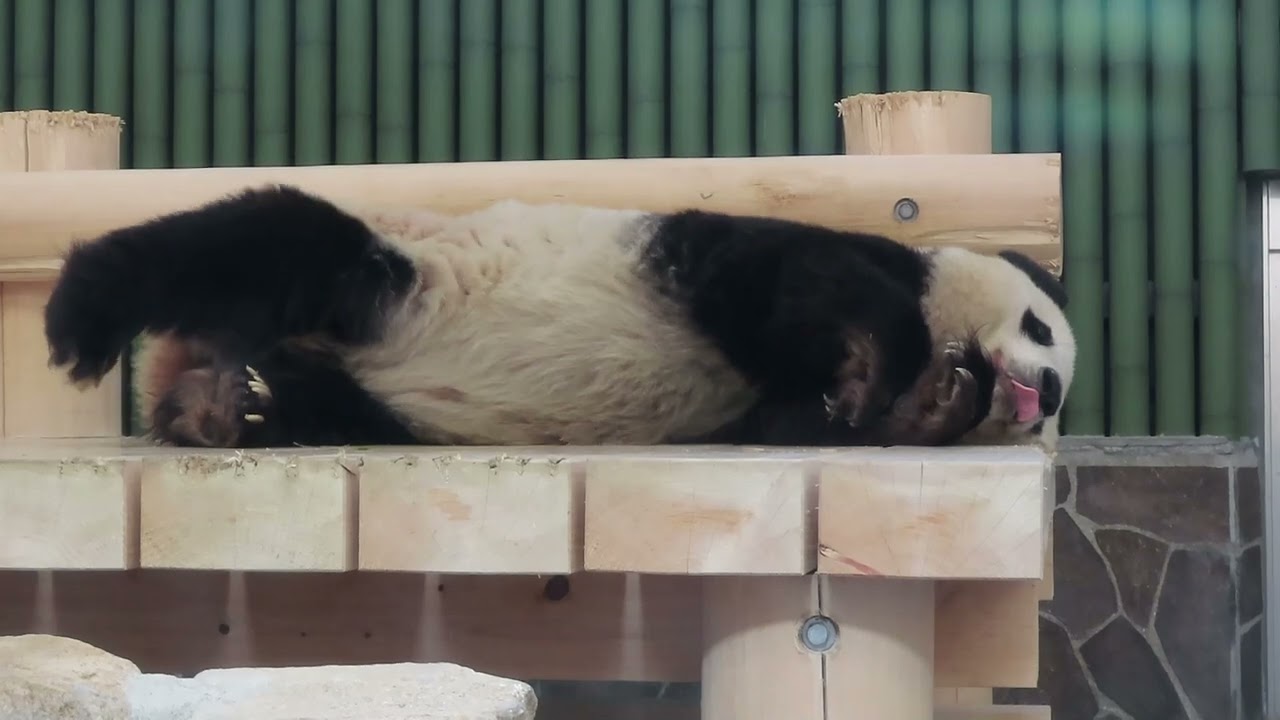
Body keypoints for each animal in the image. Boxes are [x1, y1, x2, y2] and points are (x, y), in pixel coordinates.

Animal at [41, 184, 1075, 451]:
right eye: (1042, 330)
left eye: (1061, 381)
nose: (1051, 392)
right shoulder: (717, 258)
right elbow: (789, 282)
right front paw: (879, 373)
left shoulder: (757, 408)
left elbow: (783, 423)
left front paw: (936, 402)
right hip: (391, 286)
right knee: (275, 238)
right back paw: (85, 314)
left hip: (354, 381)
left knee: (317, 399)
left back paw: (223, 411)